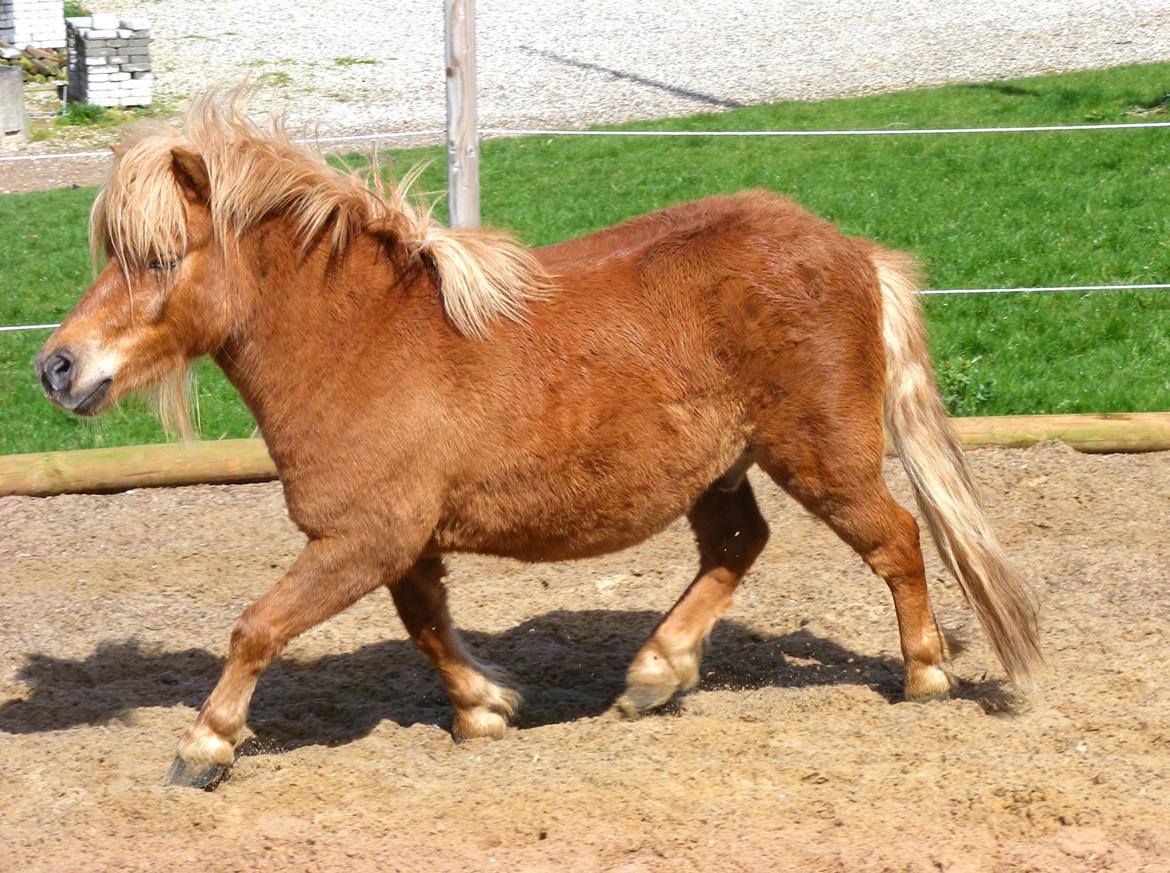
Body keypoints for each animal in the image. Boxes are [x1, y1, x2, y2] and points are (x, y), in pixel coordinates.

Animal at [38, 98, 1043, 786]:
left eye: (159, 259)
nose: (55, 366)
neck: (360, 342)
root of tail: (850, 250)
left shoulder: (360, 539)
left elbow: (257, 627)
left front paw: (202, 747)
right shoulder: (401, 543)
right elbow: (426, 626)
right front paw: (485, 709)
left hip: (821, 453)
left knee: (897, 538)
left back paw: (924, 674)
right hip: (720, 470)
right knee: (738, 545)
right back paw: (653, 675)